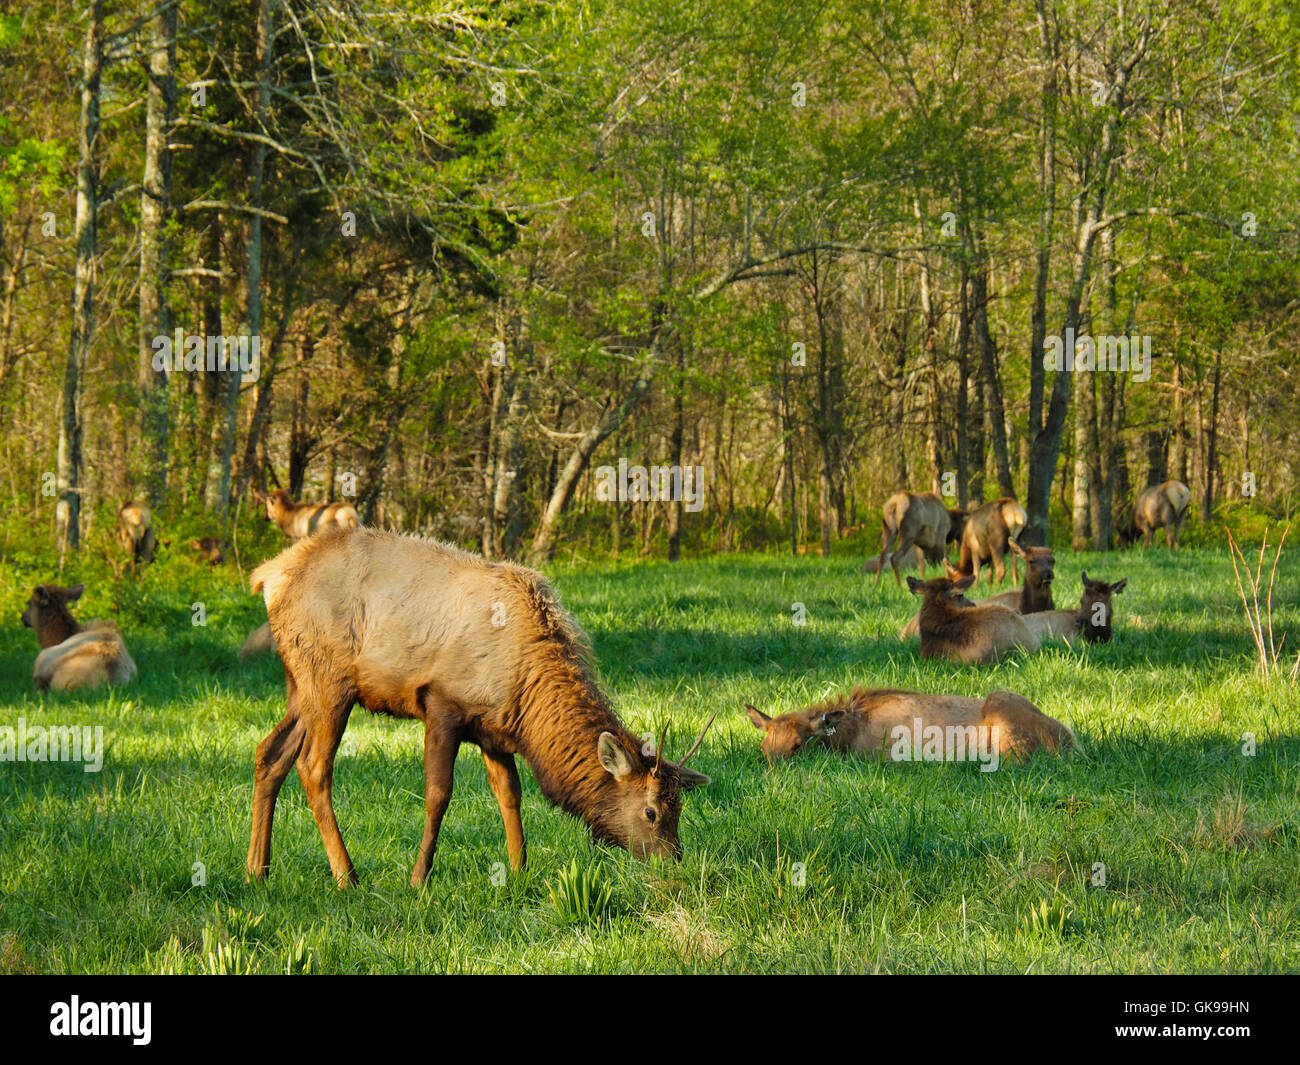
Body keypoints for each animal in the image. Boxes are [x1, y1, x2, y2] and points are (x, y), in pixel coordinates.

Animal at [247, 526, 714, 887]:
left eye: (680, 807)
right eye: (651, 812)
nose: (674, 864)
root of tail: (267, 576)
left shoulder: (496, 730)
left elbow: (511, 794)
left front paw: (520, 869)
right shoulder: (441, 705)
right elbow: (438, 794)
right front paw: (418, 878)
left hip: (299, 685)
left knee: (270, 752)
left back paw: (257, 869)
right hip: (329, 679)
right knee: (313, 767)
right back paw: (346, 875)